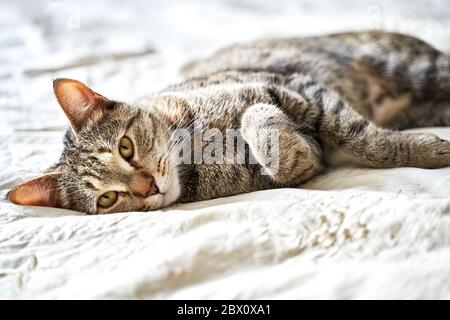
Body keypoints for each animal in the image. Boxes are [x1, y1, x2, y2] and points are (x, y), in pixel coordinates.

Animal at [7, 31, 450, 215]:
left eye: (125, 147)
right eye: (107, 199)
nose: (149, 187)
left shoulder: (303, 88)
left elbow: (370, 142)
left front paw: (427, 150)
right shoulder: (301, 160)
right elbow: (289, 157)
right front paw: (285, 139)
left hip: (416, 68)